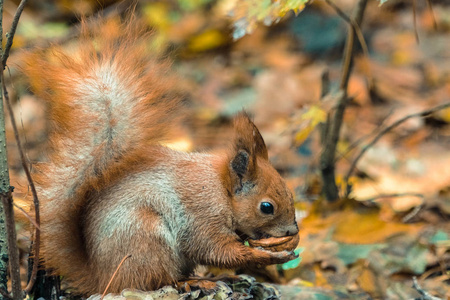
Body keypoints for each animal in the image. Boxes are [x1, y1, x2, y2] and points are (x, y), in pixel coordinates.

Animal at [23, 18, 298, 296]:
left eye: (290, 193)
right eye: (266, 207)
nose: (293, 230)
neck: (222, 191)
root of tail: (102, 277)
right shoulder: (202, 217)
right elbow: (216, 250)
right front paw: (268, 256)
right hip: (147, 239)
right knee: (157, 280)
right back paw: (193, 282)